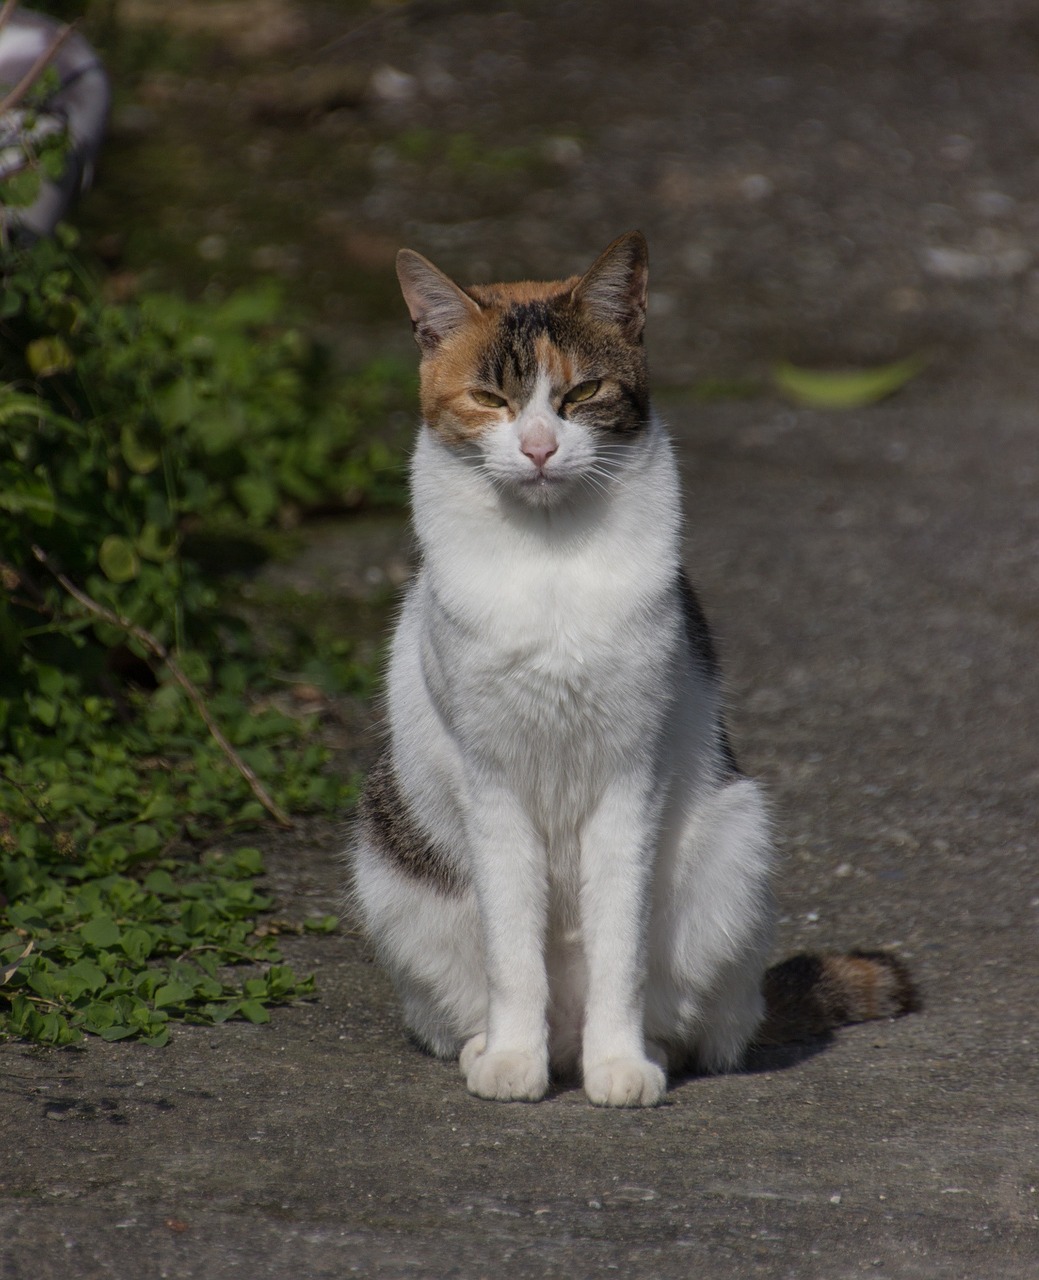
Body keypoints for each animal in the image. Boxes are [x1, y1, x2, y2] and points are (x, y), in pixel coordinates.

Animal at [350, 232, 916, 1111]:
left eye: (581, 392)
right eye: (489, 398)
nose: (538, 448)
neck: (550, 562)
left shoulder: (630, 778)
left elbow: (620, 941)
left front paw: (618, 1065)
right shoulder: (491, 785)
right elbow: (511, 949)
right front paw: (511, 1059)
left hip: (734, 841)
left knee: (695, 1020)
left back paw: (636, 1048)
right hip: (389, 868)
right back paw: (497, 1047)